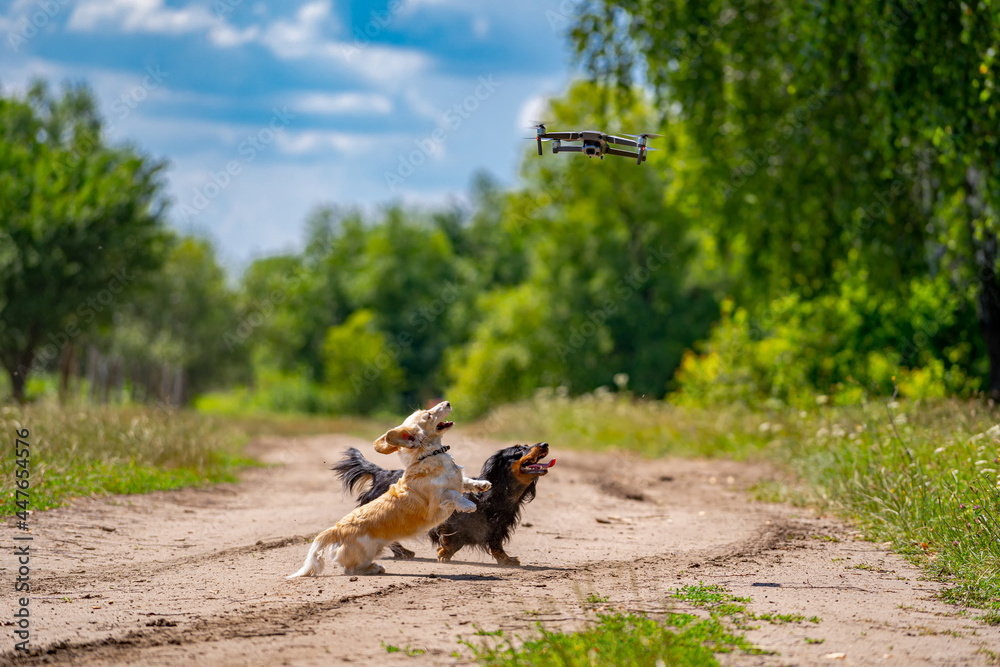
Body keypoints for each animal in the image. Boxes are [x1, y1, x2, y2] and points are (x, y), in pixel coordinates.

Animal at [286, 402, 488, 580]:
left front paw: (483, 484)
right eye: (428, 415)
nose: (447, 402)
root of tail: (337, 529)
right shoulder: (437, 500)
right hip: (365, 552)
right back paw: (376, 568)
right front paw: (469, 504)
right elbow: (452, 494)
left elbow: (465, 482)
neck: (430, 456)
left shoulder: (457, 482)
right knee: (350, 569)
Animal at [336, 440, 556, 568]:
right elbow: (452, 539)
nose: (544, 444)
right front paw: (444, 552)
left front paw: (507, 560)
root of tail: (381, 473)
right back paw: (402, 552)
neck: (496, 496)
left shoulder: (497, 528)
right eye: (518, 450)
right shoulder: (450, 517)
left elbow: (496, 545)